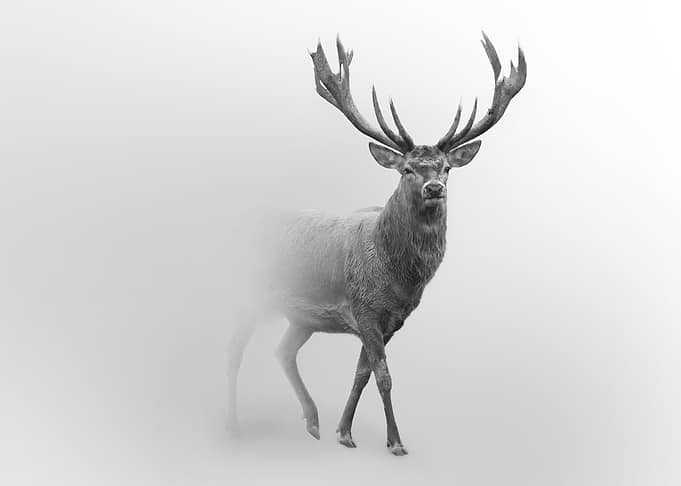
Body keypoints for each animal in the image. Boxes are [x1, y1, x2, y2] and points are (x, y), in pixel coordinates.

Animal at [226, 33, 526, 456]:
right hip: (248, 293)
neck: (398, 276)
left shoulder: (391, 321)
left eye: (447, 168)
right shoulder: (364, 308)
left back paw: (313, 422)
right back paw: (234, 426)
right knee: (234, 349)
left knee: (282, 351)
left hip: (301, 317)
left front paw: (343, 431)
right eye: (407, 169)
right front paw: (395, 442)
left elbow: (362, 373)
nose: (434, 188)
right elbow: (383, 376)